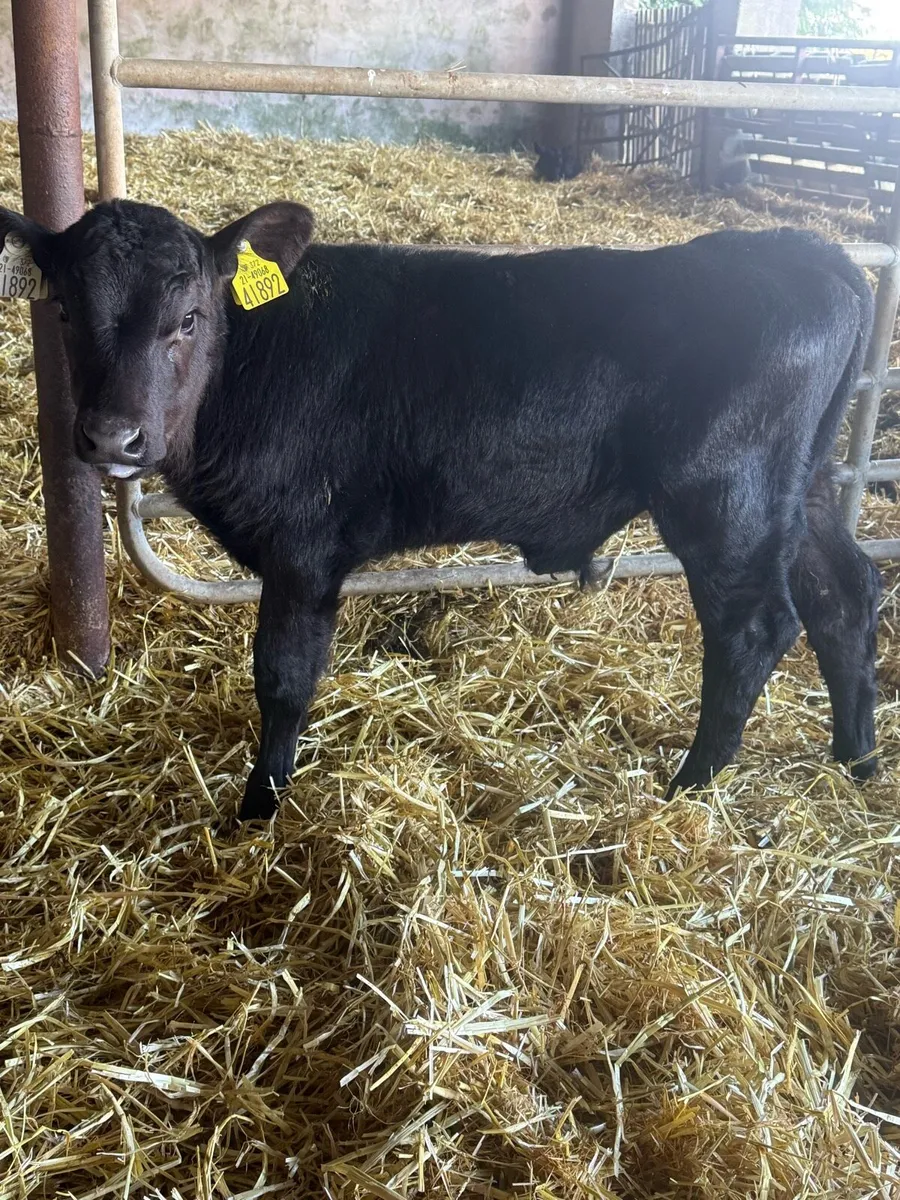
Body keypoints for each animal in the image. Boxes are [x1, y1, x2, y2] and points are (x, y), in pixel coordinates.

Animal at [0, 199, 881, 821]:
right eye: (66, 312)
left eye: (187, 319)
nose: (112, 435)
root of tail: (802, 249)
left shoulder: (303, 550)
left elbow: (283, 678)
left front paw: (258, 810)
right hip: (802, 487)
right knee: (846, 594)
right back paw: (857, 759)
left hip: (725, 497)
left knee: (755, 626)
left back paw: (687, 789)